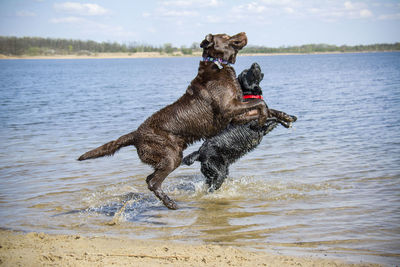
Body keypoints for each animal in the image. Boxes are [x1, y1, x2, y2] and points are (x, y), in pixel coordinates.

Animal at [77, 32, 268, 210]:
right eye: (226, 36)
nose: (244, 33)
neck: (218, 64)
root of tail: (136, 134)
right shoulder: (229, 107)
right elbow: (260, 103)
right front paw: (264, 118)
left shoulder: (235, 114)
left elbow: (258, 107)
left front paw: (265, 120)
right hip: (172, 156)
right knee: (153, 182)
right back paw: (170, 203)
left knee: (149, 178)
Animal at [183, 63, 296, 191]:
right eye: (246, 73)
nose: (255, 63)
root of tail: (199, 153)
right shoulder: (257, 125)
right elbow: (272, 118)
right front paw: (287, 121)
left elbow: (275, 113)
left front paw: (289, 118)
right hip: (219, 173)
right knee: (211, 189)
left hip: (215, 173)